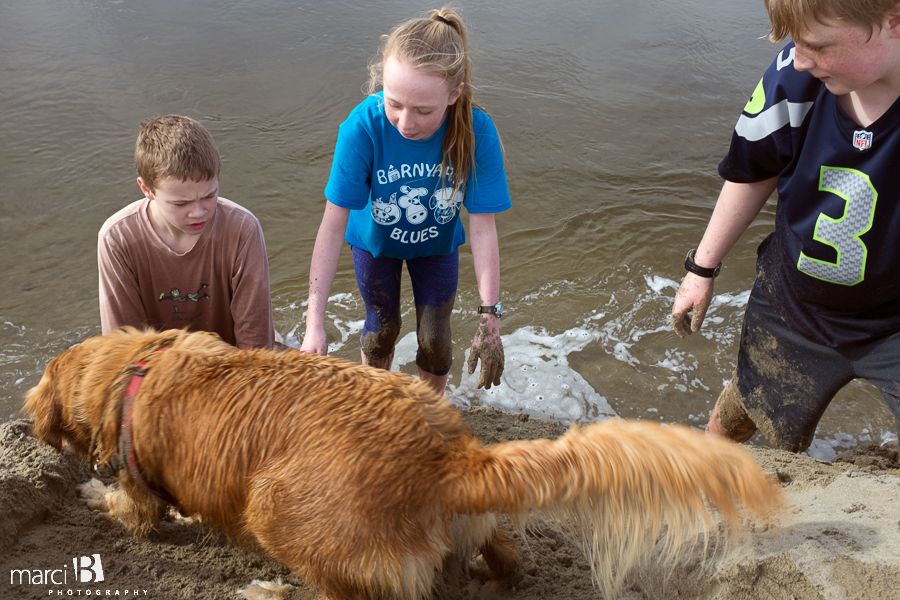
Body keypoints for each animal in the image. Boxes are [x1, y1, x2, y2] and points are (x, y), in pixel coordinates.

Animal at [24, 328, 784, 600]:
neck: (132, 366)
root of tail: (449, 454)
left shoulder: (139, 485)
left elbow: (130, 507)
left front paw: (91, 496)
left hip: (275, 510)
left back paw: (270, 591)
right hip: (477, 523)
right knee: (507, 551)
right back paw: (492, 574)